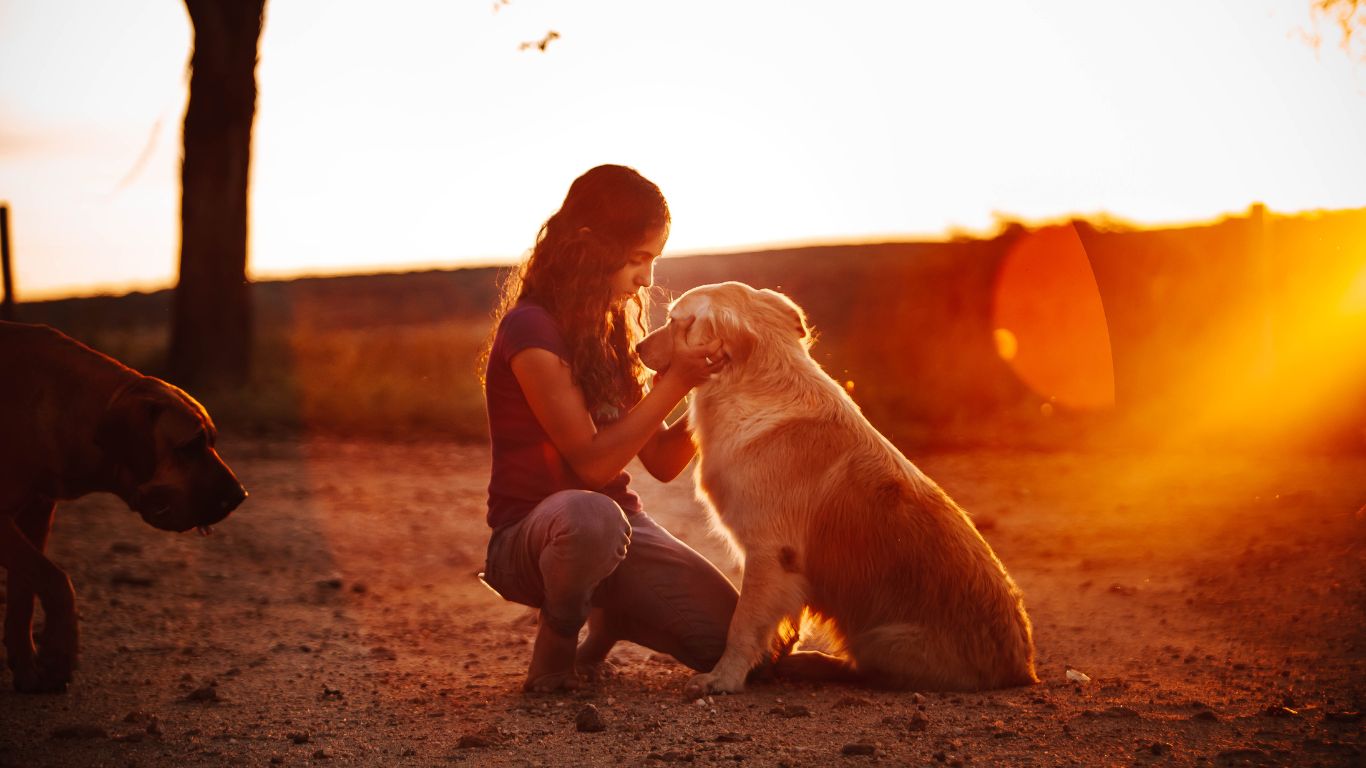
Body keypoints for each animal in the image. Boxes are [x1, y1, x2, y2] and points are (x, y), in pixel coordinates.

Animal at [1, 319, 245, 691]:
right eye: (189, 446)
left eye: (213, 441)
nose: (239, 496)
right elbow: (54, 579)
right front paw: (59, 656)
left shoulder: (38, 511)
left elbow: (24, 590)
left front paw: (28, 668)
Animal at [636, 281, 1032, 694]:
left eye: (673, 320)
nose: (638, 348)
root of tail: (1023, 669)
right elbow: (780, 626)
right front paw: (766, 663)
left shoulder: (769, 552)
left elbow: (742, 625)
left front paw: (723, 678)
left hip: (881, 638)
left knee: (864, 671)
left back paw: (813, 663)